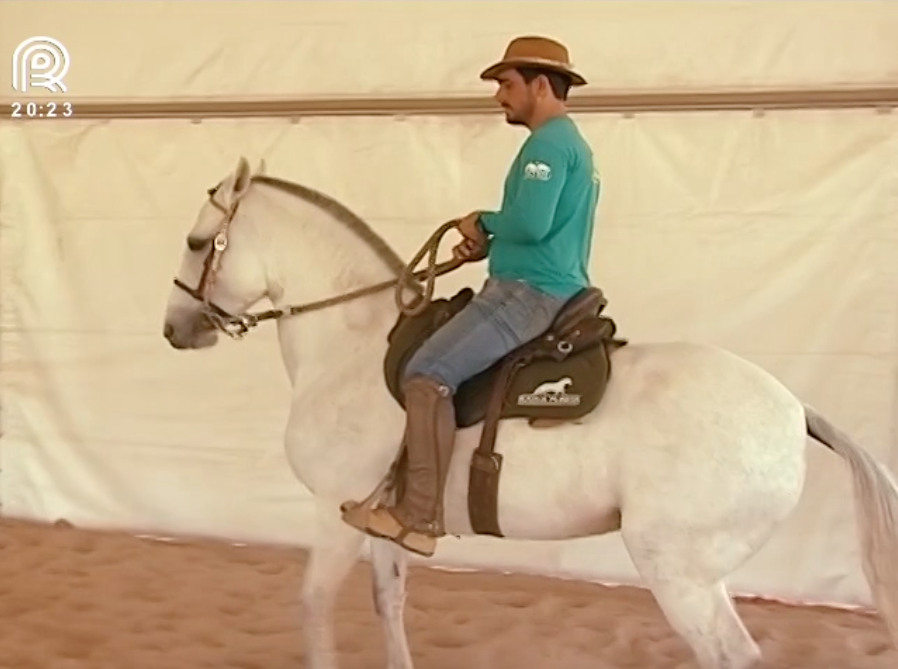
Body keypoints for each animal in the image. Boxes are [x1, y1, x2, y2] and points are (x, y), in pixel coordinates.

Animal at [161, 154, 896, 664]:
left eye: (198, 243)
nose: (174, 328)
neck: (354, 344)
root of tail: (793, 409)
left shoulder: (333, 511)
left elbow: (313, 608)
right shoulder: (378, 521)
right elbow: (388, 601)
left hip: (680, 570)